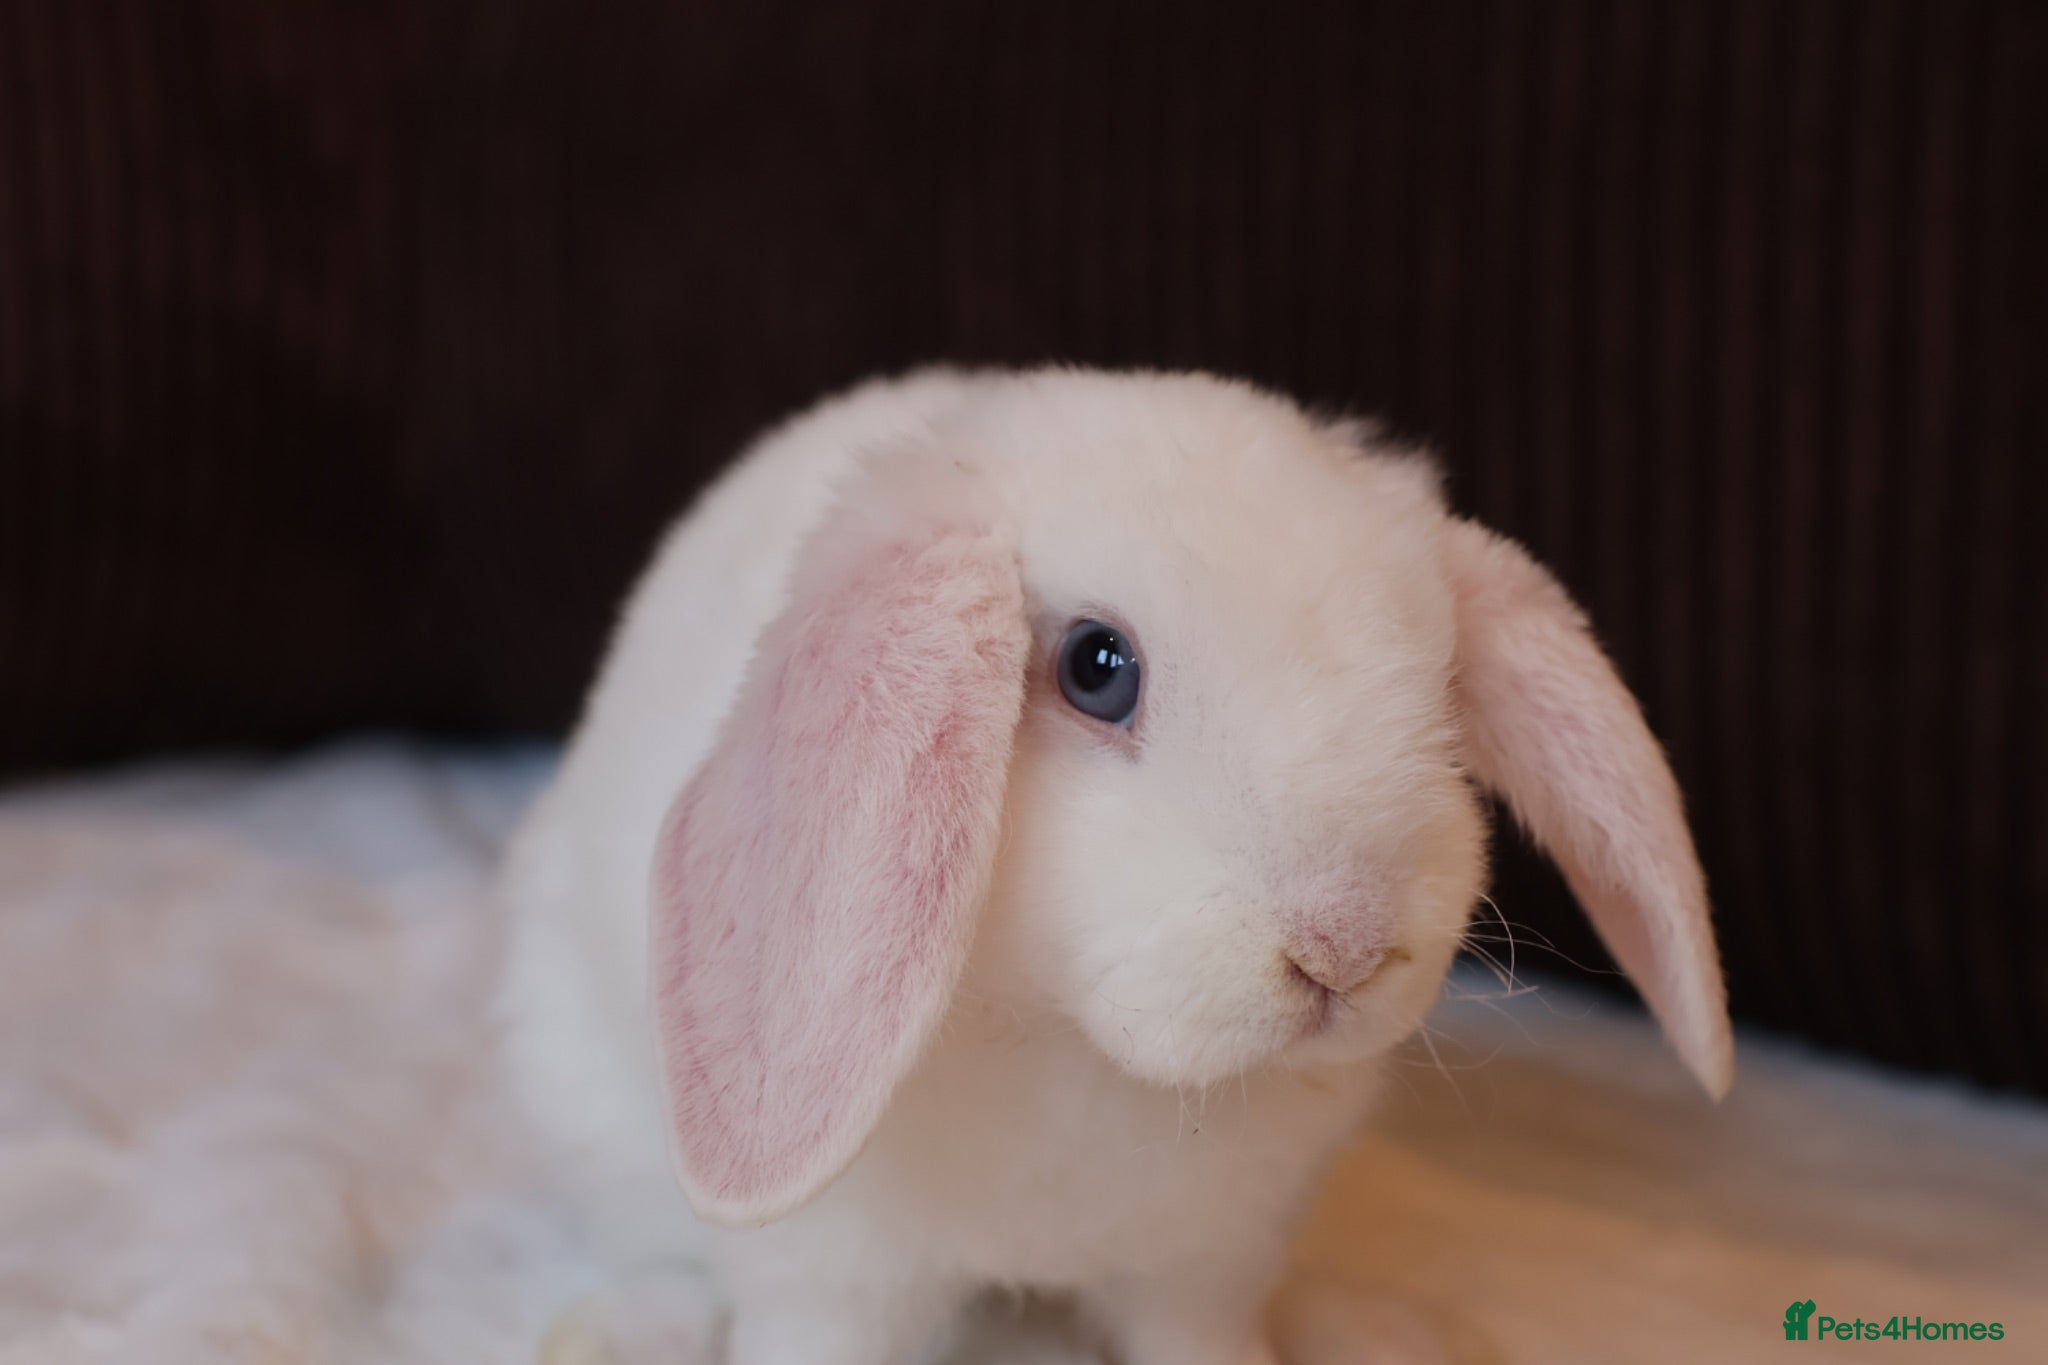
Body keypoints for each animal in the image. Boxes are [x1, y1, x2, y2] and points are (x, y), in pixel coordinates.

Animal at [493, 367, 1733, 1365]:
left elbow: (1205, 1344)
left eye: (1441, 688)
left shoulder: (1204, 1266)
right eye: (1097, 669)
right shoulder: (836, 1274)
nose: (1342, 948)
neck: (1076, 1048)